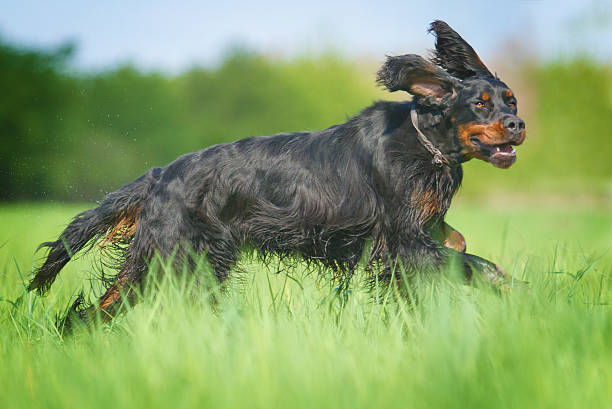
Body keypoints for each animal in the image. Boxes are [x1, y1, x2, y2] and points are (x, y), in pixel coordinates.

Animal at [28, 20, 524, 322]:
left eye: (511, 101)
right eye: (481, 103)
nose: (518, 125)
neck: (423, 143)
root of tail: (159, 176)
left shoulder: (417, 234)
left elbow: (458, 244)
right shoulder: (403, 240)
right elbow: (472, 262)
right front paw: (514, 289)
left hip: (164, 261)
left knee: (95, 310)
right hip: (177, 260)